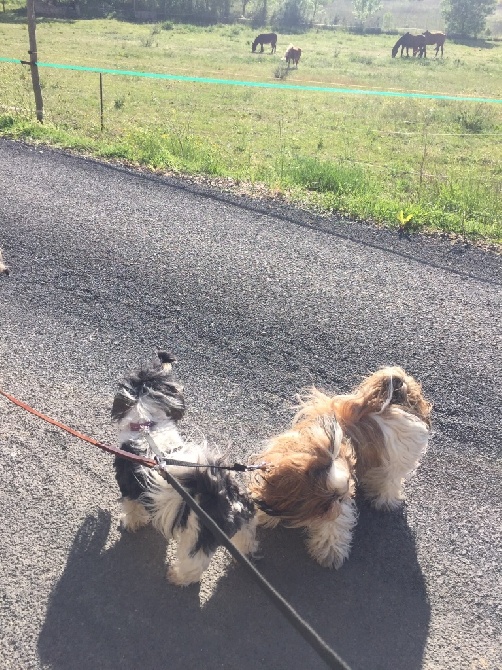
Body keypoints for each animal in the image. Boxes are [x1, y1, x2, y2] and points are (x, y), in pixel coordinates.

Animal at [111, 354, 256, 584]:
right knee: (247, 536)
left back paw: (177, 577)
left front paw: (131, 523)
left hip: (196, 539)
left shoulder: (129, 486)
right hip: (241, 522)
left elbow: (132, 507)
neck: (147, 426)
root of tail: (222, 493)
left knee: (194, 566)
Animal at [249, 370, 430, 568]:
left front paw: (329, 553)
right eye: (323, 503)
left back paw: (384, 500)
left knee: (389, 480)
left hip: (398, 459)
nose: (336, 504)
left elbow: (333, 527)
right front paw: (266, 517)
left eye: (336, 498)